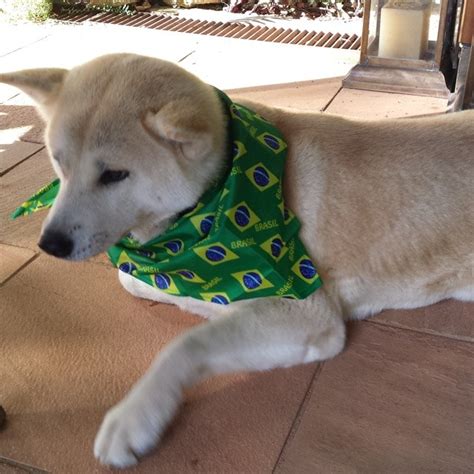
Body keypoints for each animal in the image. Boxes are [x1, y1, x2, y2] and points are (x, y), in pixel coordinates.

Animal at [0, 53, 474, 468]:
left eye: (114, 174)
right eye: (58, 162)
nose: (50, 244)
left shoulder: (309, 313)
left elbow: (185, 346)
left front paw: (135, 417)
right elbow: (137, 278)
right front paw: (192, 296)